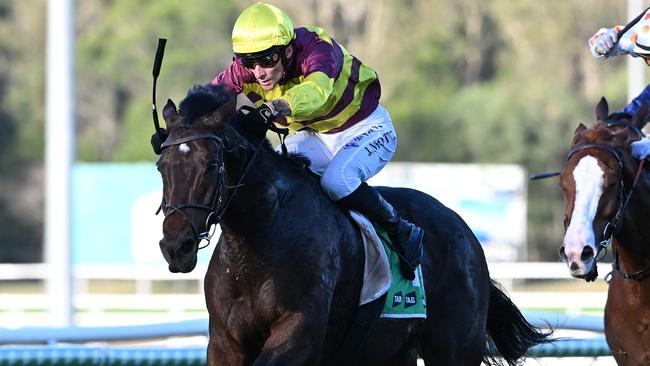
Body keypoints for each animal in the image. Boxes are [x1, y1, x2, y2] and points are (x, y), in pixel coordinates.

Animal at [154, 83, 548, 366]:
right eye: (161, 166)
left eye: (211, 165)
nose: (176, 247)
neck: (259, 239)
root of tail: (463, 230)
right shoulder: (225, 343)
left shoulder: (299, 335)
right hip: (392, 352)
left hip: (455, 348)